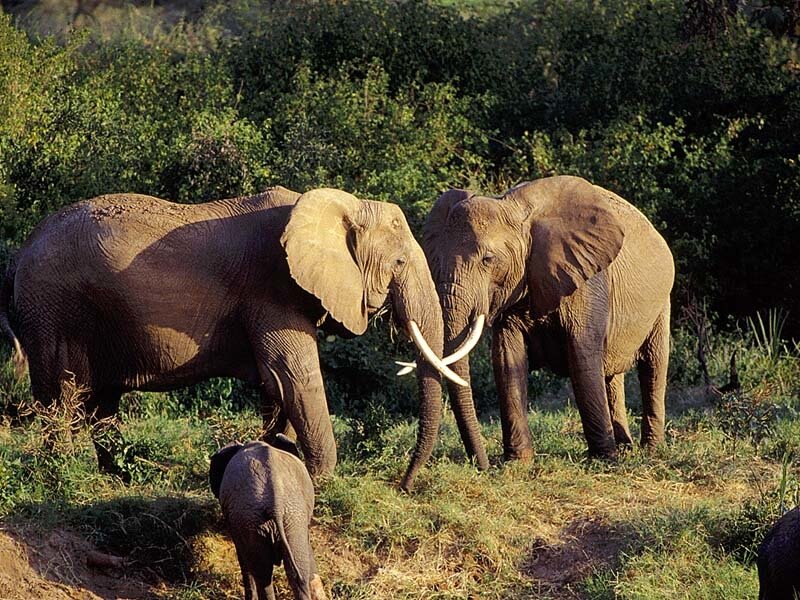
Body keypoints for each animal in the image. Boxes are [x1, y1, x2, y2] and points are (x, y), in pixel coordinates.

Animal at [0, 186, 460, 482]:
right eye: (399, 263)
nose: (403, 483)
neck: (343, 204)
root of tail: (21, 252)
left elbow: (276, 385)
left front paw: (280, 455)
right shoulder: (273, 287)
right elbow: (295, 375)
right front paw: (323, 479)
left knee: (102, 403)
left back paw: (120, 477)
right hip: (53, 309)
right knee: (61, 395)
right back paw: (62, 473)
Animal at [400, 175, 674, 484]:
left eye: (488, 259)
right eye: (435, 262)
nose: (482, 466)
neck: (518, 213)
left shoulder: (588, 280)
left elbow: (582, 355)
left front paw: (604, 460)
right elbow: (507, 359)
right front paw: (516, 464)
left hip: (662, 300)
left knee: (653, 365)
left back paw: (650, 450)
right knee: (611, 373)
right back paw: (626, 447)